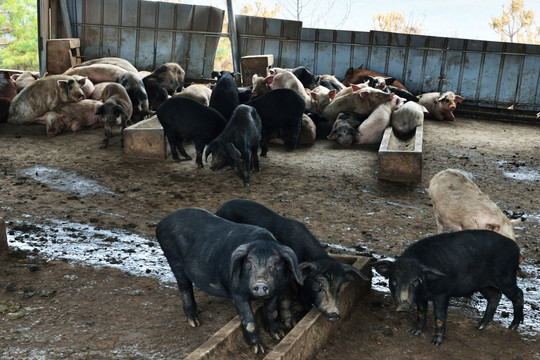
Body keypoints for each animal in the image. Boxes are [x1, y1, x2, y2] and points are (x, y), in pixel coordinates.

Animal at [217, 198, 370, 328]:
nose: (334, 314)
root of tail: (221, 207)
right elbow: (287, 297)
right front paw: (291, 325)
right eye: (318, 283)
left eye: (339, 286)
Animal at [372, 231, 524, 346]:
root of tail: (515, 247)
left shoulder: (442, 294)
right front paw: (415, 333)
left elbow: (439, 316)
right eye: (394, 281)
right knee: (495, 295)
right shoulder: (421, 297)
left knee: (518, 294)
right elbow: (421, 313)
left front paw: (435, 342)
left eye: (415, 281)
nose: (403, 306)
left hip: (506, 278)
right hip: (484, 284)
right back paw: (479, 326)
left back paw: (513, 326)